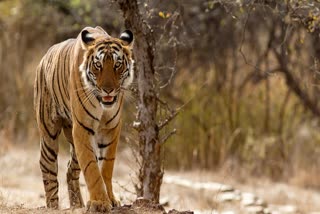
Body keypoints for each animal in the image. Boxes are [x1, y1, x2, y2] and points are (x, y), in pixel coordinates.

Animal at [34, 25, 134, 211]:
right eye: (98, 65)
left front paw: (110, 199)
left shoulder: (111, 128)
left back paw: (77, 204)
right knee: (47, 165)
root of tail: (44, 58)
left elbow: (106, 166)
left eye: (117, 65)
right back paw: (53, 206)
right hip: (49, 132)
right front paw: (99, 202)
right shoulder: (82, 129)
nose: (108, 90)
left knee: (70, 169)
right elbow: (91, 168)